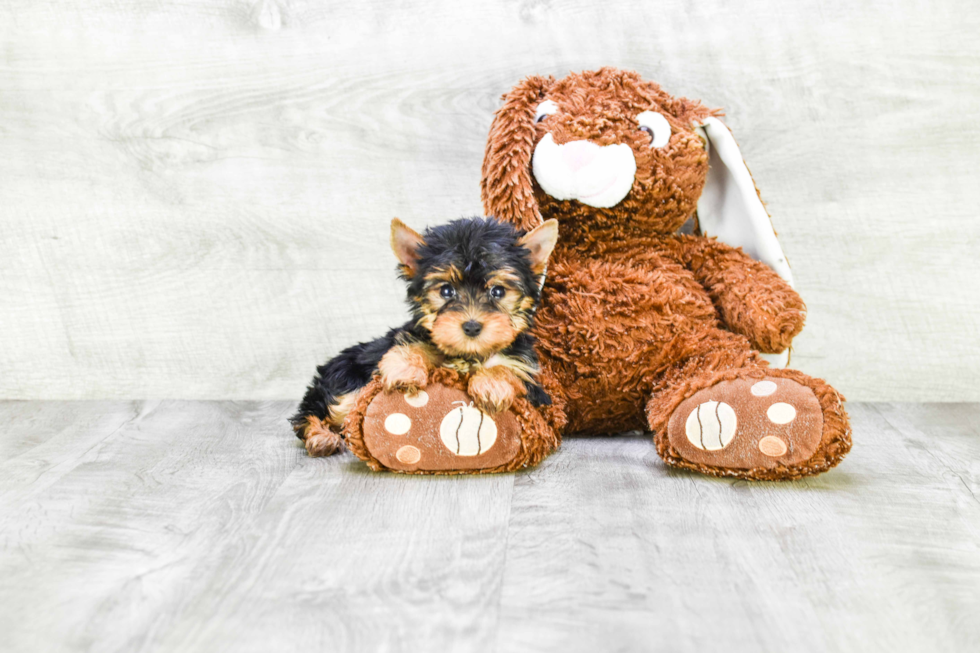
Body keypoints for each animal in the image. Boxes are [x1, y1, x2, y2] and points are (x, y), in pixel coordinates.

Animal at [290, 216, 560, 456]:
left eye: (498, 291)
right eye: (446, 291)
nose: (472, 326)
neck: (467, 355)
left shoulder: (534, 385)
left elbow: (509, 367)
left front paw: (492, 384)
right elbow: (414, 343)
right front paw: (405, 368)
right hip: (345, 380)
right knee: (315, 412)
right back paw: (321, 437)